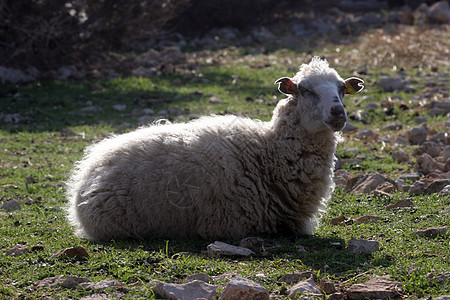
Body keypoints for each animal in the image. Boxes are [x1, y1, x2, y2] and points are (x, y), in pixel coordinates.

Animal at [67, 56, 364, 240]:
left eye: (342, 89)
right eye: (303, 90)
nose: (338, 113)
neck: (267, 154)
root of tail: (87, 172)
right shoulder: (233, 223)